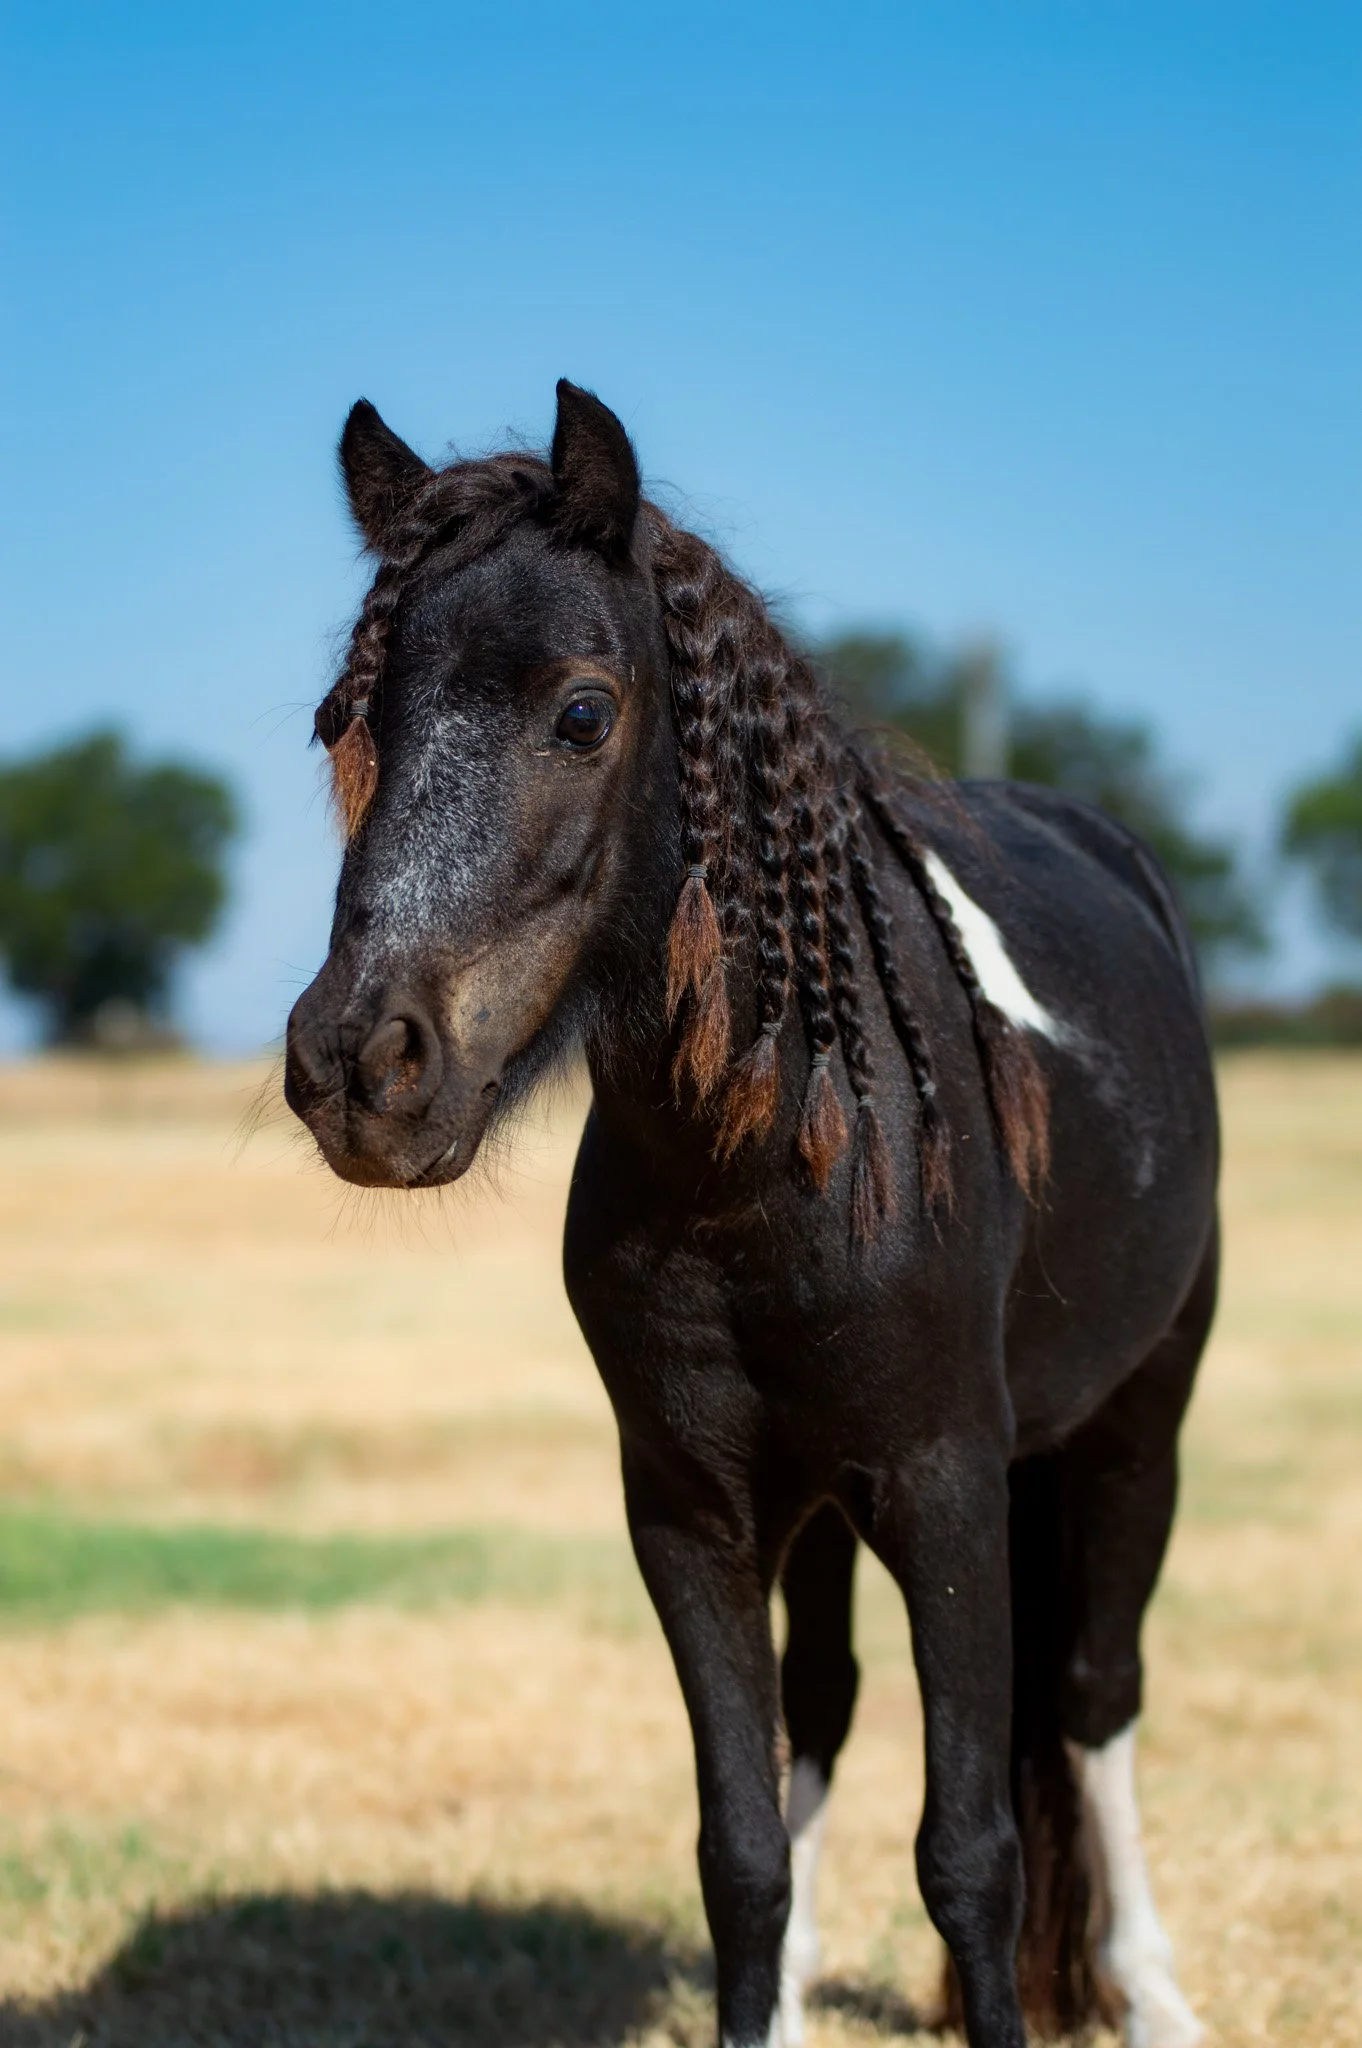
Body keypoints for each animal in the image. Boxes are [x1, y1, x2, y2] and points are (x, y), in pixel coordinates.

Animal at [284, 380, 1219, 2048]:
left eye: (582, 712)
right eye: (350, 723)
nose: (357, 1066)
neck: (771, 1168)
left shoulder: (944, 1490)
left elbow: (969, 1851)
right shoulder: (691, 1512)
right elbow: (741, 1849)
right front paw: (759, 1990)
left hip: (1135, 1424)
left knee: (1094, 1693)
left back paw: (1153, 1993)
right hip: (825, 1503)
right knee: (832, 1706)